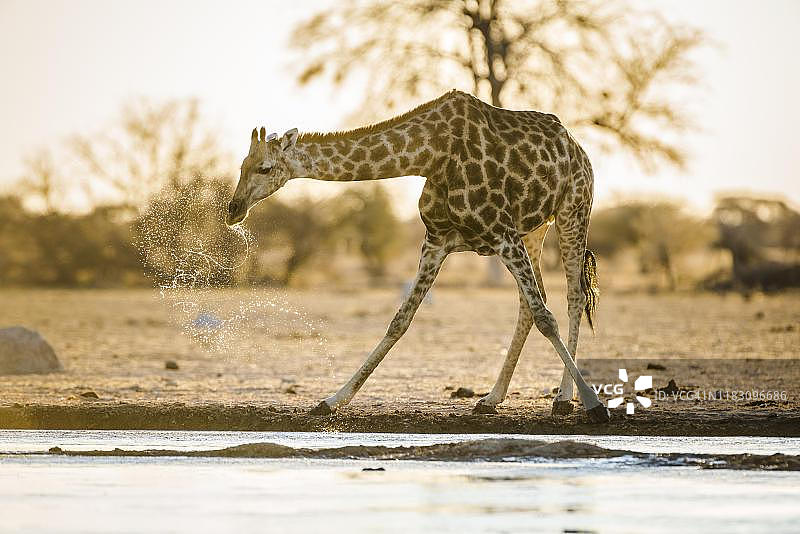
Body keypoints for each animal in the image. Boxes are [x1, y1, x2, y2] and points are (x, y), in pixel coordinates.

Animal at [227, 89, 610, 423]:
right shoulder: (437, 241)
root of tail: (580, 150)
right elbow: (400, 320)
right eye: (242, 164)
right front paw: (332, 401)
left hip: (573, 211)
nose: (233, 210)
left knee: (572, 297)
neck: (431, 156)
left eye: (264, 167)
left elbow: (547, 318)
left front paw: (595, 406)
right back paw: (492, 398)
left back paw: (564, 399)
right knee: (531, 302)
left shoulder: (501, 232)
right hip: (535, 230)